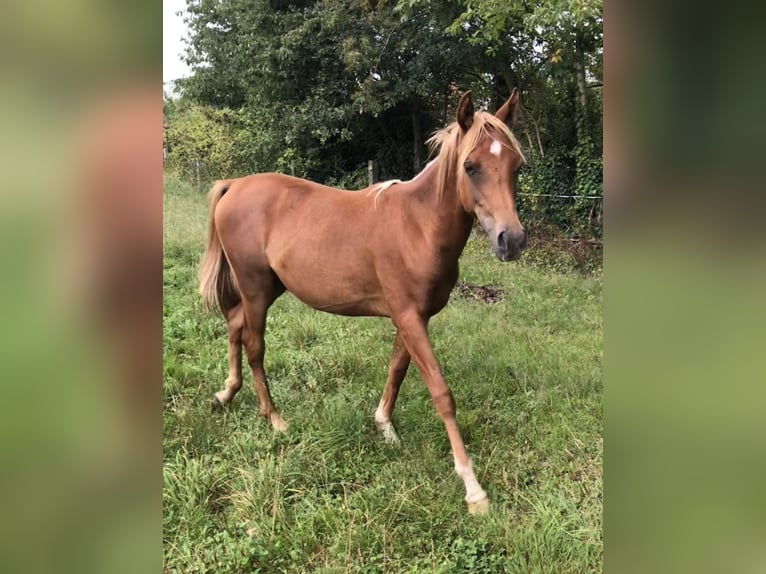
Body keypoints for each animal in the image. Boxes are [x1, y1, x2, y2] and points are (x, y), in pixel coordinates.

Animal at [198, 91, 528, 516]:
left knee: (235, 325)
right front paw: (473, 488)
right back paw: (274, 419)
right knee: (255, 346)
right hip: (255, 289)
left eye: (516, 165)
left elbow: (397, 368)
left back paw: (226, 394)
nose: (512, 241)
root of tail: (235, 185)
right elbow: (441, 392)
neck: (418, 226)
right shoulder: (409, 317)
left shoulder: (413, 318)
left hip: (268, 288)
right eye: (470, 166)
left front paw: (384, 425)